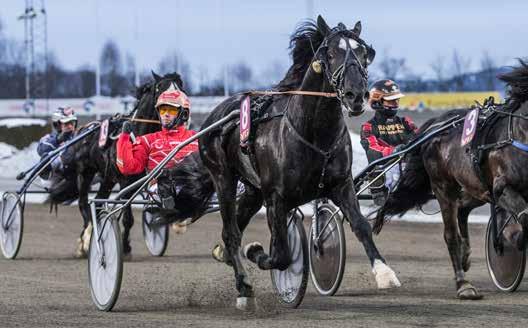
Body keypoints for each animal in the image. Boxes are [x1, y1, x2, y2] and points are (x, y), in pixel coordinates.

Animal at [200, 14, 398, 308]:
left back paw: (223, 254)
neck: (315, 134)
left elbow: (361, 225)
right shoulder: (277, 198)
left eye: (364, 53)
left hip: (253, 189)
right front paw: (257, 251)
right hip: (223, 177)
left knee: (236, 223)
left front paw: (384, 272)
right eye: (331, 53)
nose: (356, 95)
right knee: (232, 232)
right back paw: (244, 285)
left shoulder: (341, 184)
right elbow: (281, 254)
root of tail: (215, 115)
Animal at [374, 59, 528, 300]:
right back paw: (464, 285)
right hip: (443, 187)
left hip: (474, 186)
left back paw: (465, 255)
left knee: (463, 208)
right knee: (450, 235)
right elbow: (522, 223)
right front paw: (510, 240)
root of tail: (434, 127)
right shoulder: (503, 188)